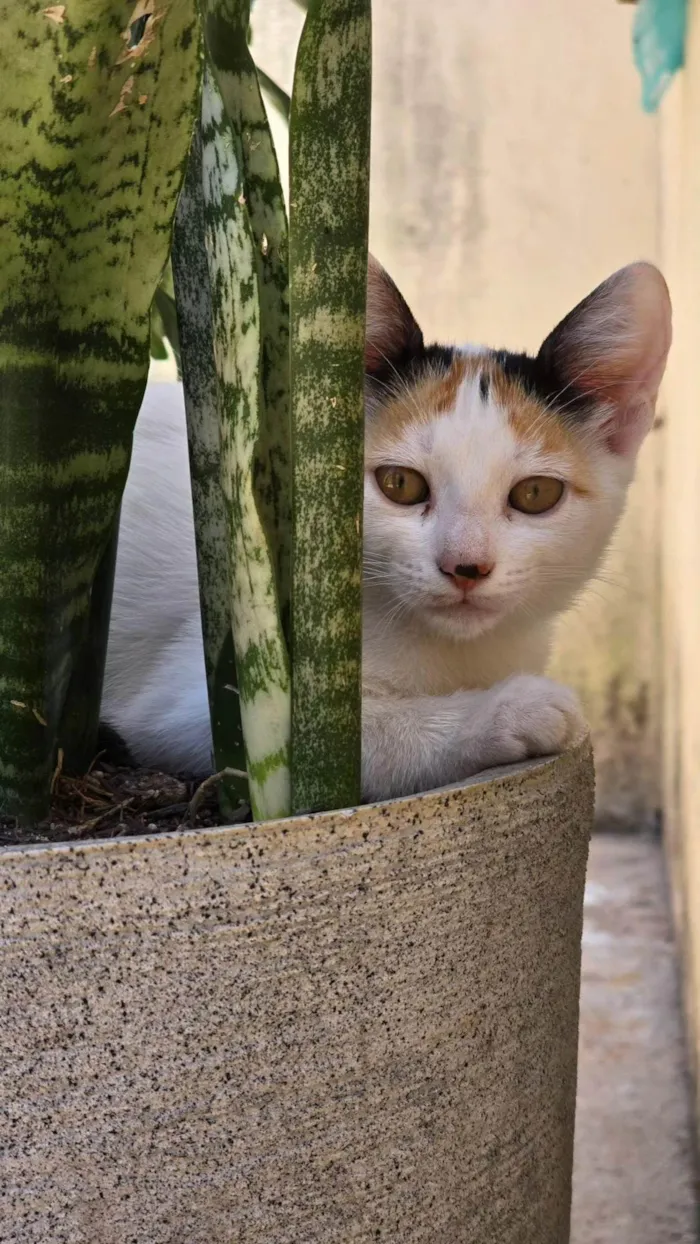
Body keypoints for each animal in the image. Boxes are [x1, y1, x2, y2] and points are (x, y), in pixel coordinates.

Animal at [101, 256, 671, 801]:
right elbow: (347, 735)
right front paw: (506, 709)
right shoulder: (210, 707)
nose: (466, 566)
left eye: (535, 494)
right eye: (400, 483)